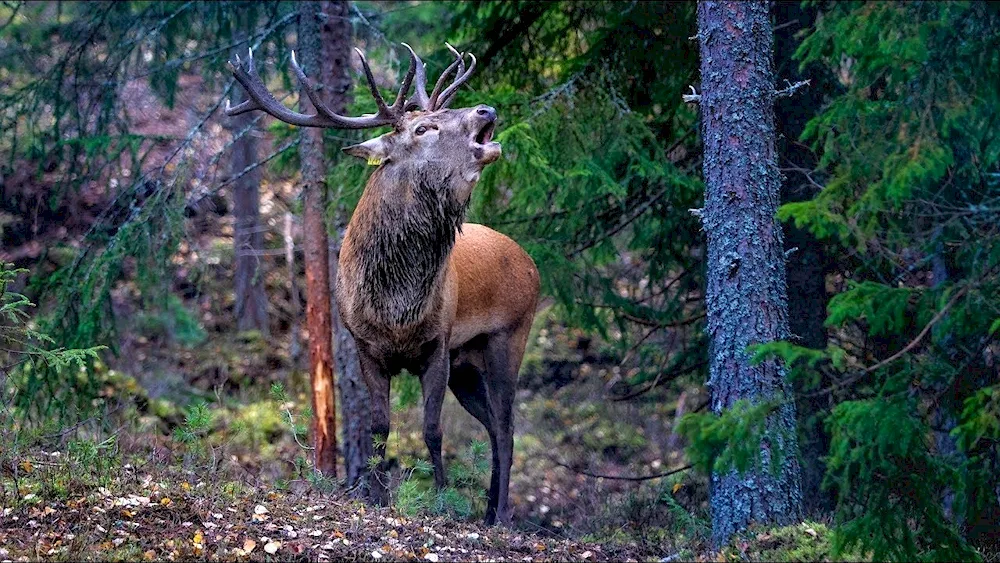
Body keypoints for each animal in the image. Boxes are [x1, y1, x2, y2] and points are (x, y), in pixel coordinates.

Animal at [227, 43, 540, 524]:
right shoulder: (366, 348)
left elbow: (431, 430)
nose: (486, 109)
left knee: (505, 429)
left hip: (509, 336)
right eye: (424, 127)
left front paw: (441, 500)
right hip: (467, 364)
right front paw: (374, 496)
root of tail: (531, 263)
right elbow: (379, 428)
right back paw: (490, 511)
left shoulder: (437, 346)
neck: (396, 309)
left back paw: (501, 515)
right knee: (492, 427)